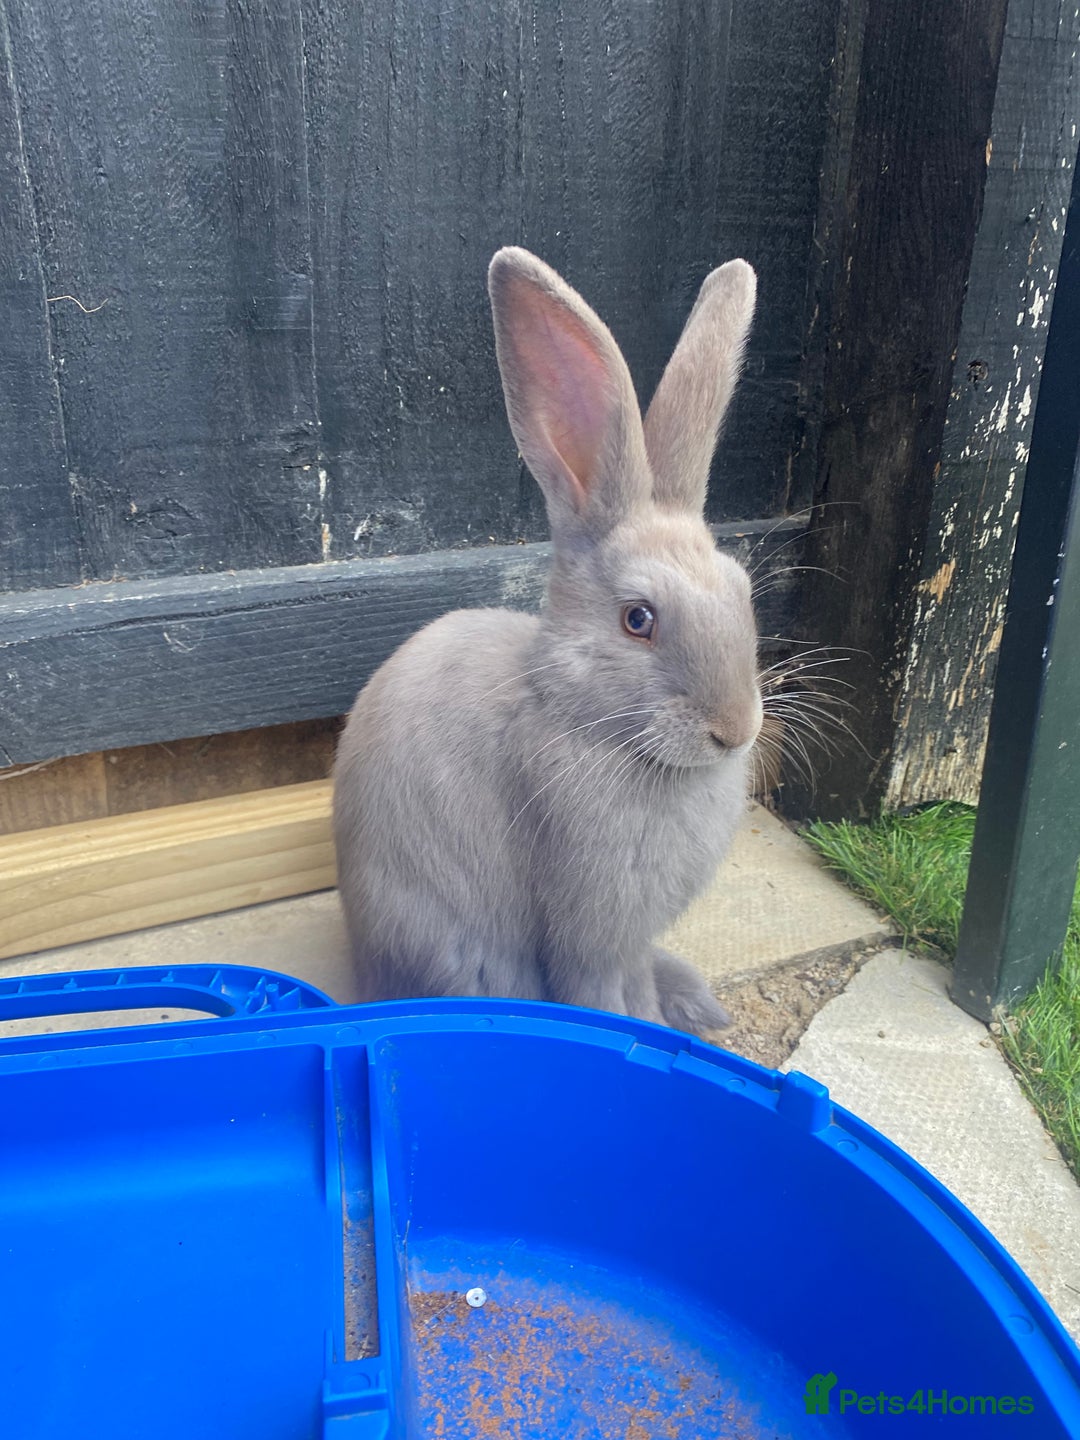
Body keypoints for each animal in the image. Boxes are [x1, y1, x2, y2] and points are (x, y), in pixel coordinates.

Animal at [333, 245, 762, 1035]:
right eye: (638, 620)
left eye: (742, 590)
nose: (735, 729)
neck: (580, 714)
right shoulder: (588, 931)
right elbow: (602, 997)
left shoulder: (626, 937)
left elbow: (634, 983)